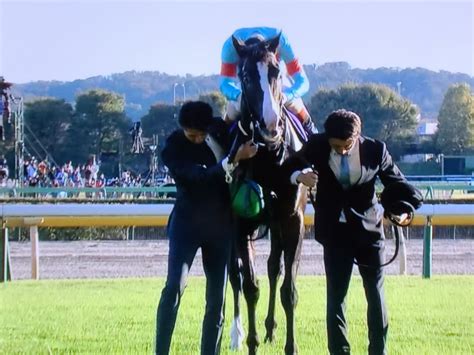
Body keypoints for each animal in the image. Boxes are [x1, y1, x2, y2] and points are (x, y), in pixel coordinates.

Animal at [227, 34, 310, 355]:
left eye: (277, 72)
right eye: (246, 76)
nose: (271, 126)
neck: (269, 157)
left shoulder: (292, 220)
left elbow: (289, 289)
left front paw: (291, 346)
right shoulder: (241, 224)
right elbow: (250, 286)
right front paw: (249, 342)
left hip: (277, 224)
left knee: (275, 267)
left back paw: (272, 328)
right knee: (245, 274)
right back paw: (245, 333)